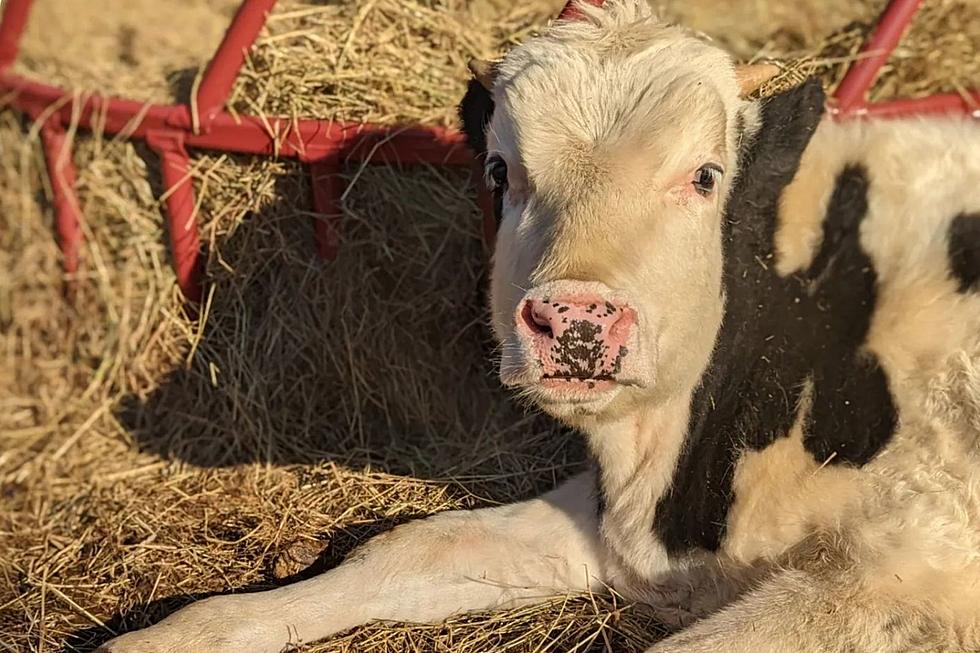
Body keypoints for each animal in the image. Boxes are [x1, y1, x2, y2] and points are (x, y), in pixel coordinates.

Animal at [94, 1, 980, 652]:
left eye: (706, 175)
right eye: (500, 170)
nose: (576, 320)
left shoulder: (901, 577)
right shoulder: (611, 519)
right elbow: (407, 548)